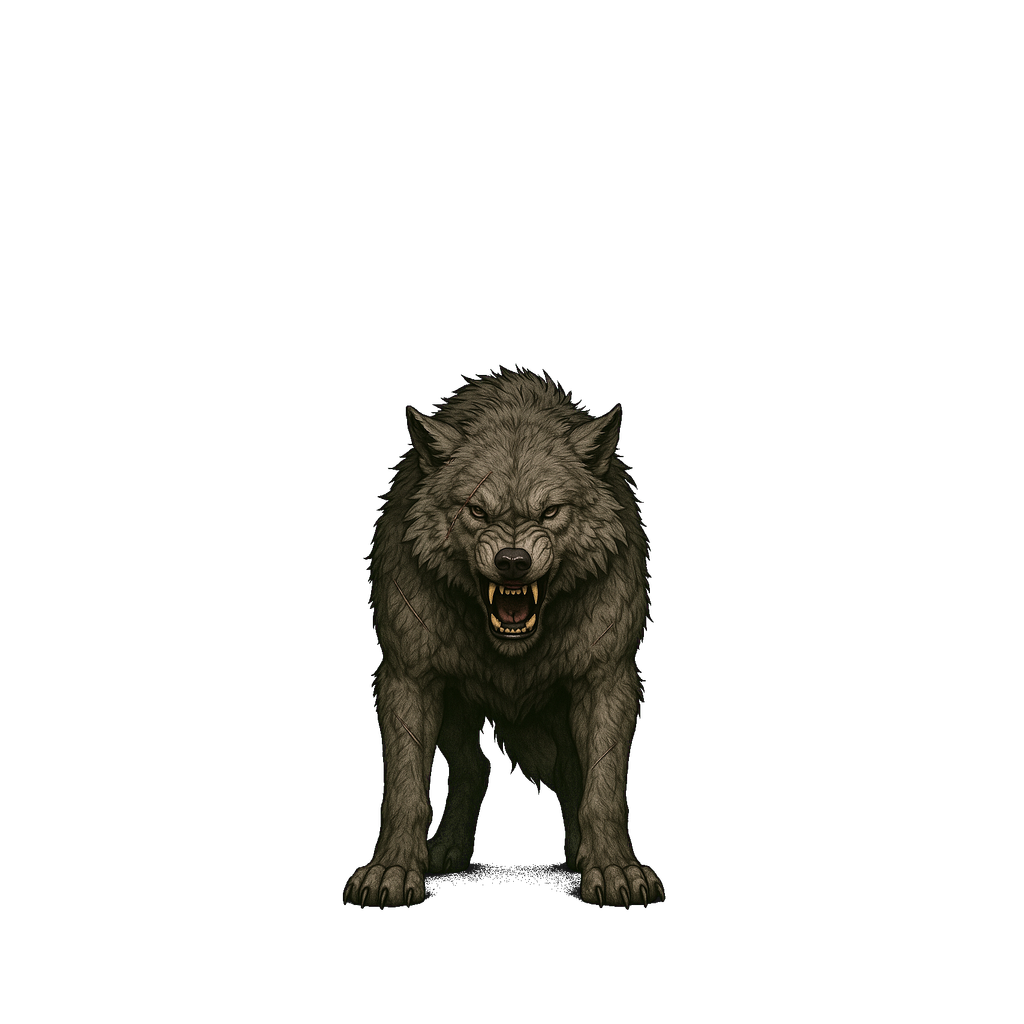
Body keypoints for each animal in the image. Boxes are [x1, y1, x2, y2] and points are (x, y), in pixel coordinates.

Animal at [345, 371, 663, 908]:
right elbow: (406, 794)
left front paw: (615, 869)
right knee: (475, 769)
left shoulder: (607, 680)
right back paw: (447, 850)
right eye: (476, 509)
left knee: (569, 772)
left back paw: (578, 853)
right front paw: (391, 871)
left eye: (551, 510)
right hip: (455, 711)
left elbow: (602, 790)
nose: (513, 561)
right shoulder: (409, 679)